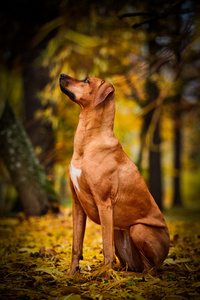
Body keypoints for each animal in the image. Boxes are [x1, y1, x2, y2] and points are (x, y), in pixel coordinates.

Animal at [59, 74, 170, 276]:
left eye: (86, 80)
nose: (62, 75)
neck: (87, 142)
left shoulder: (104, 203)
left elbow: (106, 247)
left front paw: (104, 276)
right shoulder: (77, 204)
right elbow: (76, 245)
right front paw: (71, 273)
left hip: (137, 229)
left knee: (151, 267)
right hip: (120, 233)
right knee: (136, 264)